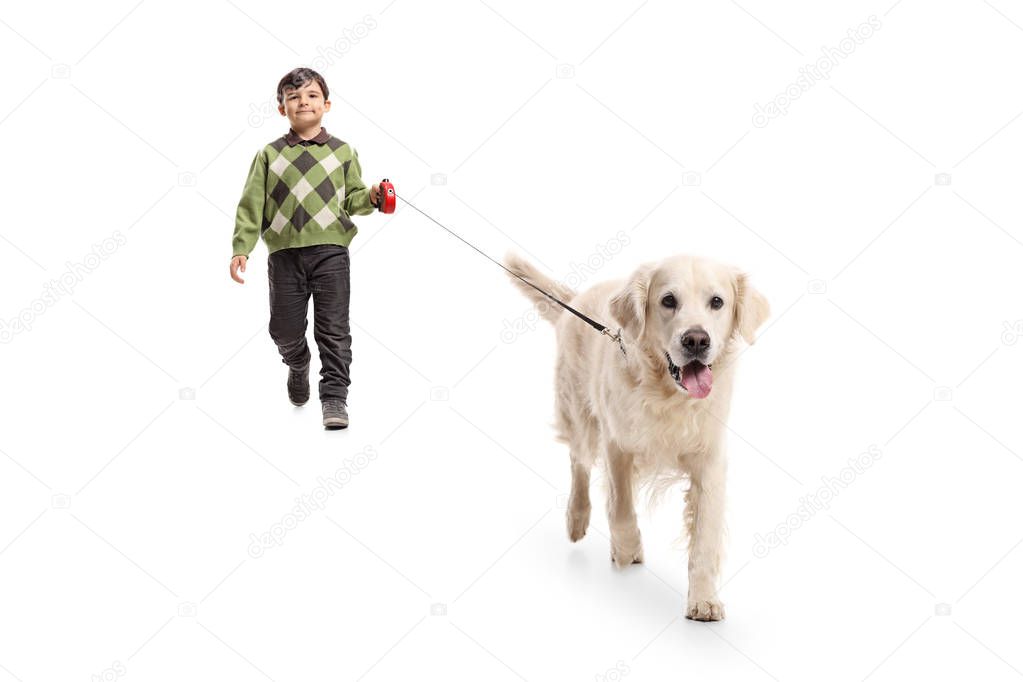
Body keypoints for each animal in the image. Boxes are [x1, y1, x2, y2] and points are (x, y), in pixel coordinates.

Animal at [503, 253, 769, 621]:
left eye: (717, 302)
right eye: (668, 300)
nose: (696, 340)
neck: (668, 396)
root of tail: (576, 300)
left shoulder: (710, 461)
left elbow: (705, 538)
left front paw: (704, 599)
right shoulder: (617, 445)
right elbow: (621, 508)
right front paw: (628, 549)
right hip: (580, 416)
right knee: (578, 463)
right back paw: (576, 517)